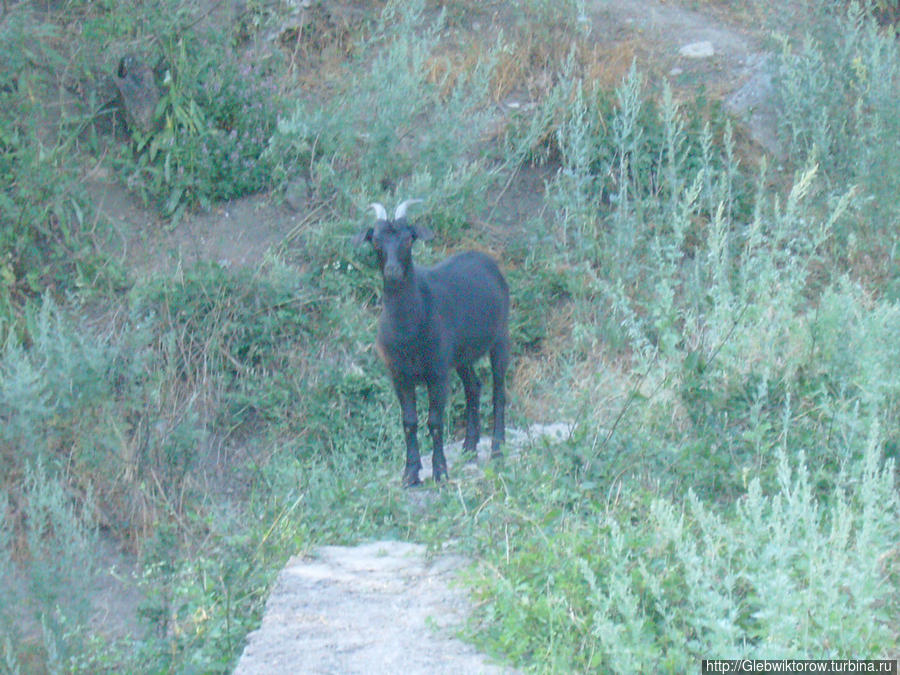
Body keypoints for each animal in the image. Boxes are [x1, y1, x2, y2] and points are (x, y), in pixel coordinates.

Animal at [356, 199, 510, 486]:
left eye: (408, 239)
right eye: (376, 242)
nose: (392, 271)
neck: (407, 329)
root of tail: (485, 259)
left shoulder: (437, 373)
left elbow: (435, 422)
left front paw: (440, 472)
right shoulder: (400, 375)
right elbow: (409, 422)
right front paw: (410, 473)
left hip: (501, 337)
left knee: (498, 391)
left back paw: (497, 447)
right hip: (461, 356)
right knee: (474, 386)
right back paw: (469, 447)